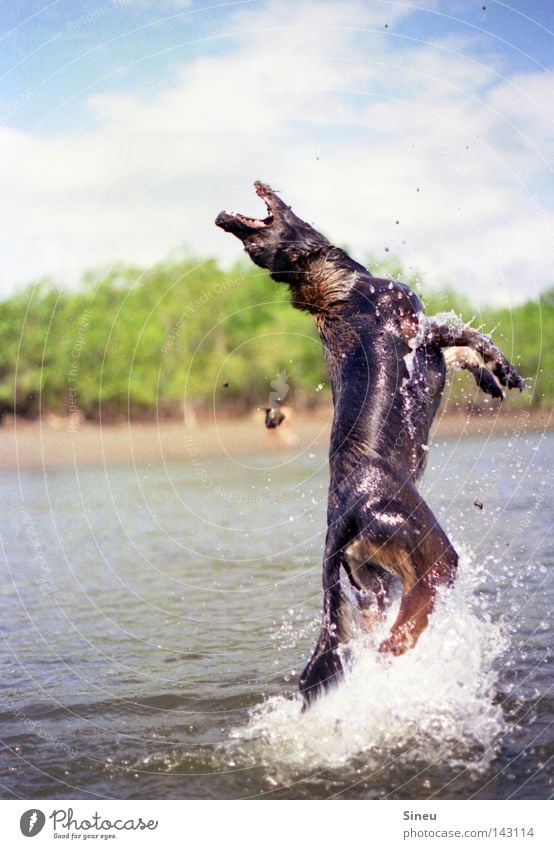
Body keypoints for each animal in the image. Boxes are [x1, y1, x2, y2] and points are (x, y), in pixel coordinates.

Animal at [216, 182, 520, 704]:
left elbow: (462, 352)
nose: (220, 218)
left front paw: (488, 379)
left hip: (371, 585)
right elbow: (470, 334)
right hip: (435, 563)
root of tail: (344, 514)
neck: (341, 283)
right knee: (396, 640)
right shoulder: (418, 329)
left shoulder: (429, 350)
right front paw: (502, 369)